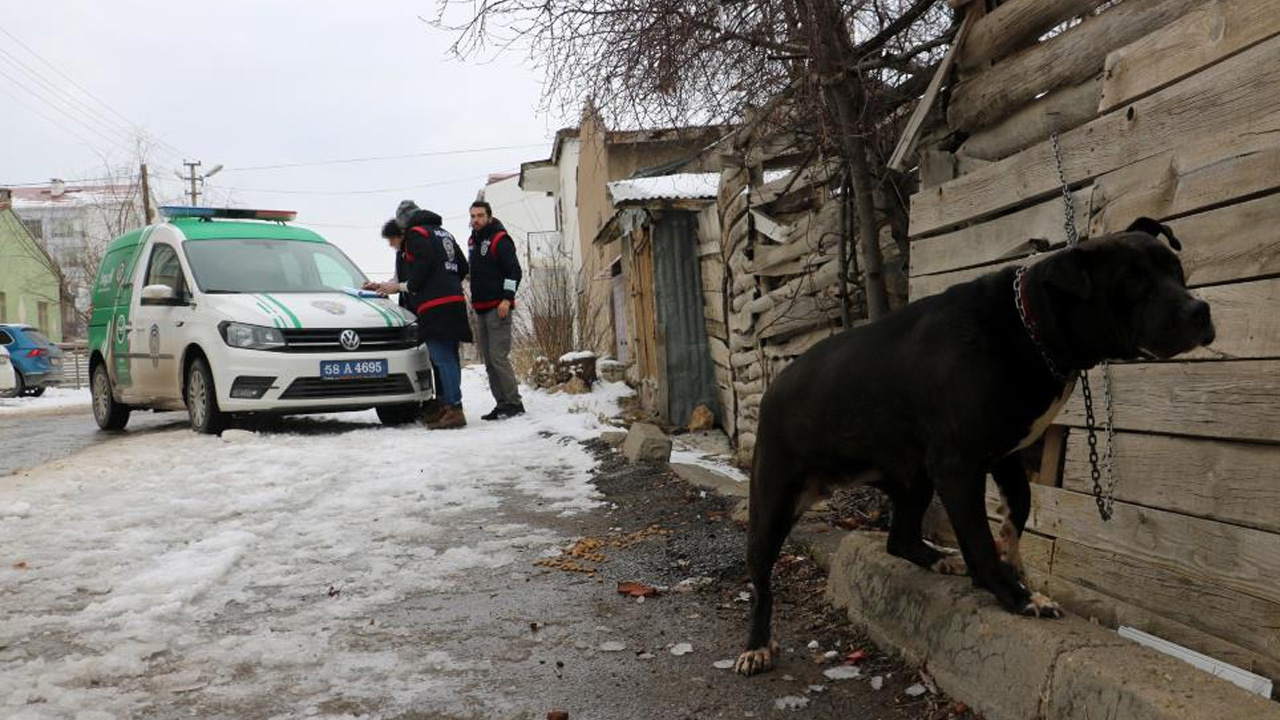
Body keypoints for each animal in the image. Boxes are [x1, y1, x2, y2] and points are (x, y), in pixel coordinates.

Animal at [737, 215, 1213, 671]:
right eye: (1131, 282)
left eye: (1175, 269)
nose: (1200, 309)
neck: (1030, 325)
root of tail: (773, 388)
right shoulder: (959, 467)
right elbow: (979, 541)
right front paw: (1017, 596)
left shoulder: (1004, 455)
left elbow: (1018, 506)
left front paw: (1013, 562)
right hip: (772, 505)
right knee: (761, 585)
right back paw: (756, 646)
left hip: (914, 482)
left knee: (899, 539)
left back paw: (935, 557)